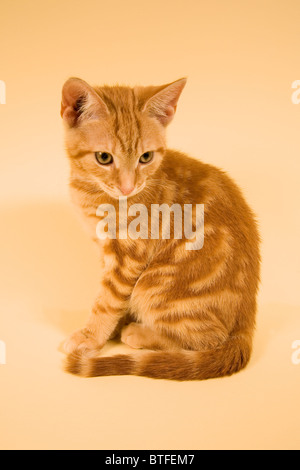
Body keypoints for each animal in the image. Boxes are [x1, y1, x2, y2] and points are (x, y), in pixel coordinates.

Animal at [60, 76, 260, 378]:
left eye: (146, 157)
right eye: (104, 158)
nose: (128, 187)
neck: (91, 191)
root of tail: (246, 325)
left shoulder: (128, 256)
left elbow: (107, 301)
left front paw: (90, 336)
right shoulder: (106, 252)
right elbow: (116, 300)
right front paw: (111, 328)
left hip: (156, 285)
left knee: (207, 338)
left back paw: (140, 333)